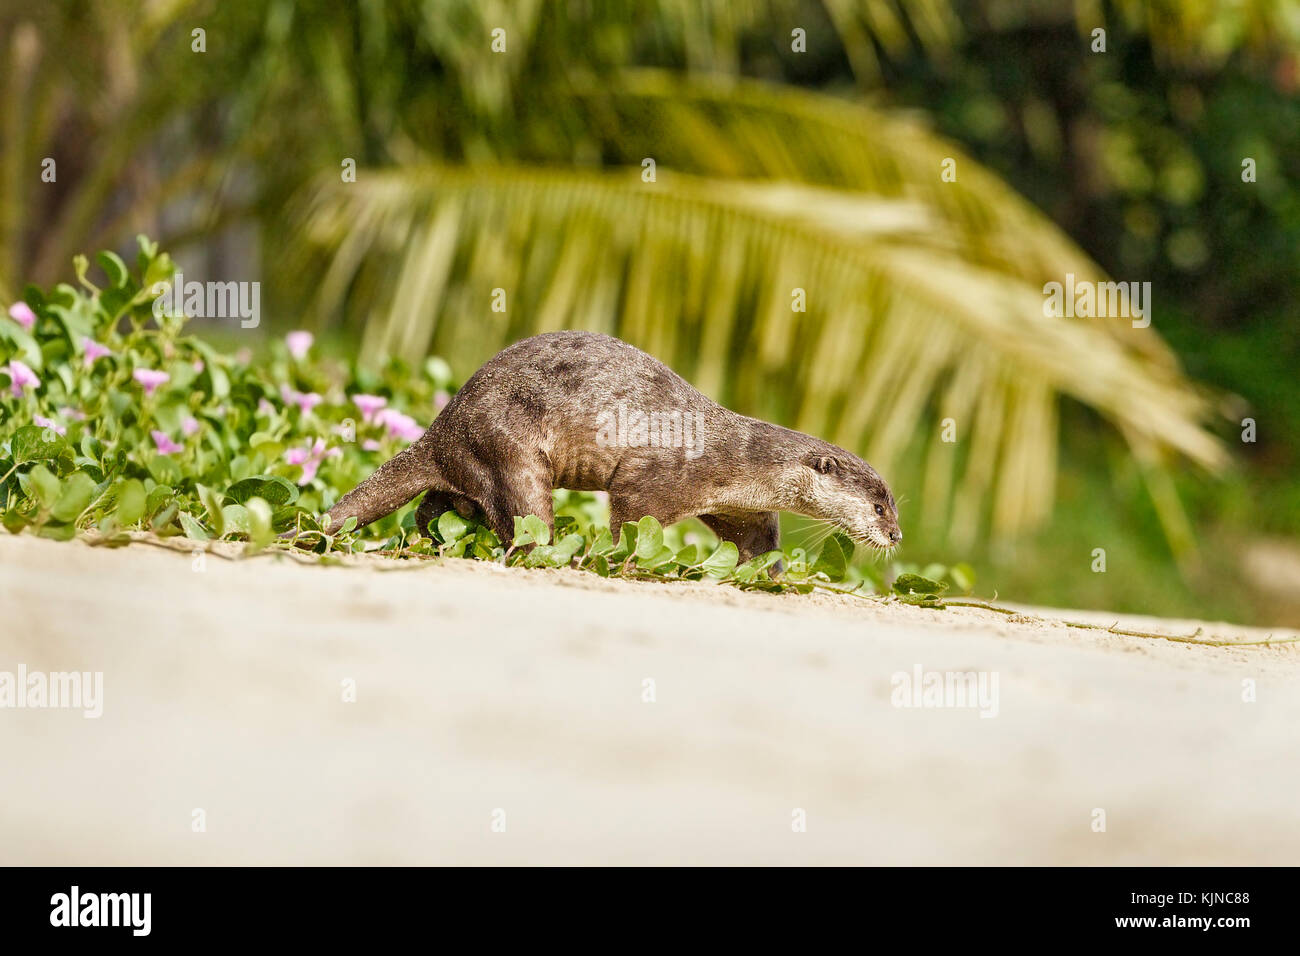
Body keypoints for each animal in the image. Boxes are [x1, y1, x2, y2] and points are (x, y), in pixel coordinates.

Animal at [322, 330, 904, 561]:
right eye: (879, 506)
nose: (896, 535)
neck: (737, 458)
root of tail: (444, 423)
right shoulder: (658, 478)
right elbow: (631, 517)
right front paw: (625, 556)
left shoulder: (741, 508)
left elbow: (759, 544)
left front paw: (770, 577)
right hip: (509, 451)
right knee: (522, 517)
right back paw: (553, 553)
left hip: (467, 463)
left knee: (436, 503)